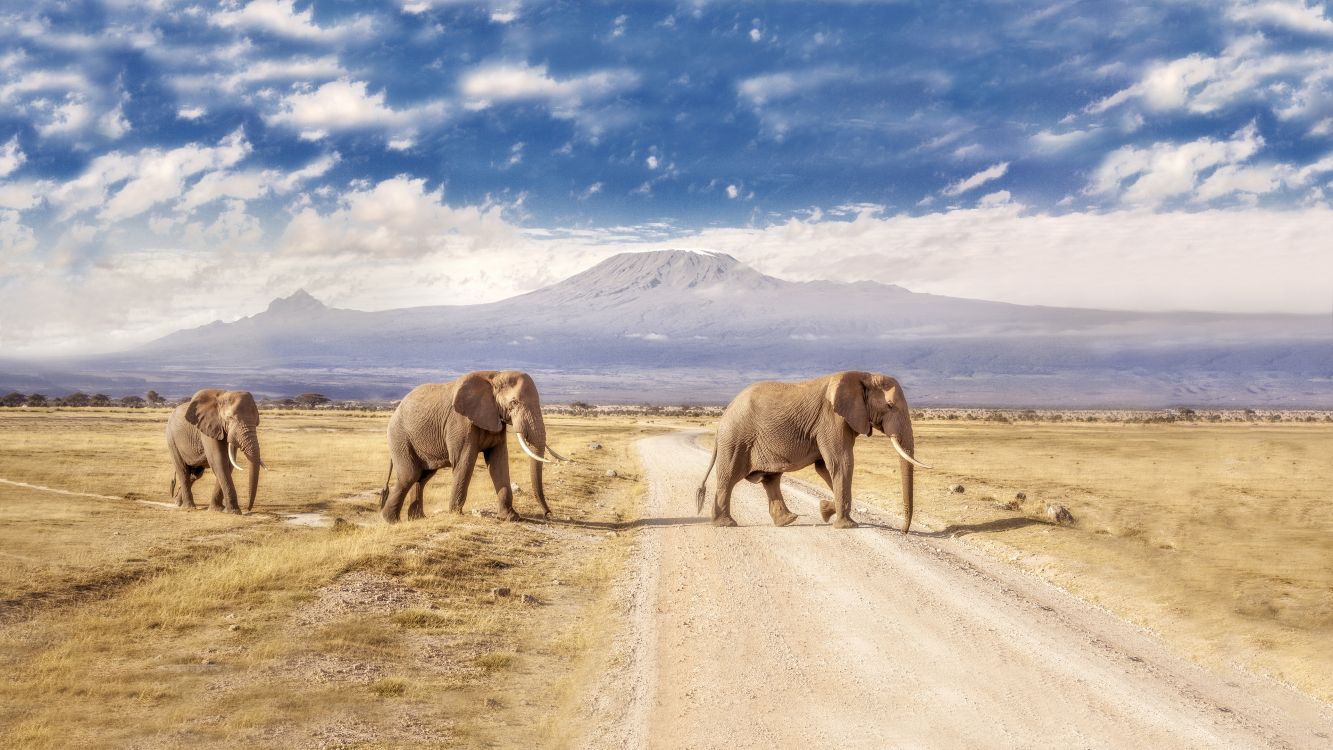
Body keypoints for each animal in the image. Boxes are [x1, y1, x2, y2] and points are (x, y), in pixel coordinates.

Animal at [375, 367, 567, 522]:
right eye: (514, 403)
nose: (548, 514)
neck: (495, 376)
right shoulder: (460, 422)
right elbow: (464, 462)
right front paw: (455, 514)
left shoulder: (494, 418)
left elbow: (498, 462)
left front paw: (512, 517)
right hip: (399, 437)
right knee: (410, 474)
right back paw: (390, 520)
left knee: (422, 477)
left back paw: (417, 519)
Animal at [693, 373, 933, 530]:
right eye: (890, 406)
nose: (904, 531)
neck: (863, 375)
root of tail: (723, 417)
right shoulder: (832, 419)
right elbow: (842, 462)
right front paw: (847, 525)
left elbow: (825, 467)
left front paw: (825, 510)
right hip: (736, 440)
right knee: (729, 478)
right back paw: (726, 524)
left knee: (770, 480)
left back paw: (787, 520)